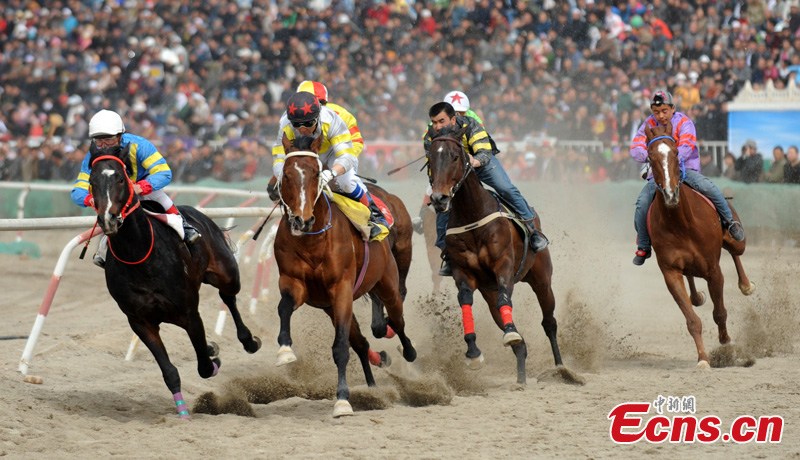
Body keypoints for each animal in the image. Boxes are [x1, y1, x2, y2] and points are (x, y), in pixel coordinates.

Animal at [87, 147, 262, 416]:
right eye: (92, 181)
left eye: (120, 178)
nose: (109, 219)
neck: (138, 255)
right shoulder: (140, 321)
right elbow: (169, 371)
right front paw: (182, 412)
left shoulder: (189, 312)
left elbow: (204, 366)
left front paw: (214, 359)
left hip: (228, 274)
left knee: (228, 296)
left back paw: (249, 340)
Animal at [272, 133, 416, 416]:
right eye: (286, 174)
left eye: (316, 173)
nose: (302, 220)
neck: (313, 241)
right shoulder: (295, 284)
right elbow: (283, 308)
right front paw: (284, 350)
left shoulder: (342, 289)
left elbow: (340, 348)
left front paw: (342, 401)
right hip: (333, 306)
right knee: (361, 343)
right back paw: (373, 388)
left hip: (388, 285)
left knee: (398, 320)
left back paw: (409, 352)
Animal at [424, 126, 564, 384]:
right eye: (430, 159)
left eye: (455, 157)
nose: (439, 198)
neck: (472, 216)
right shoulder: (463, 272)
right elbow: (465, 300)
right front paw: (473, 352)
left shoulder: (503, 265)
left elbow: (504, 298)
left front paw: (510, 333)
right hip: (488, 293)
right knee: (520, 343)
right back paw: (521, 376)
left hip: (541, 278)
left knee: (549, 322)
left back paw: (560, 367)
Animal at [640, 122, 752, 366]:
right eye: (650, 156)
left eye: (675, 152)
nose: (670, 194)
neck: (681, 223)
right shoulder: (670, 272)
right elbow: (692, 320)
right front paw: (703, 358)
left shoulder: (713, 269)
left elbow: (719, 312)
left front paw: (726, 343)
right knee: (692, 281)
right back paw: (697, 296)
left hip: (736, 240)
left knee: (736, 252)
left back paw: (746, 284)